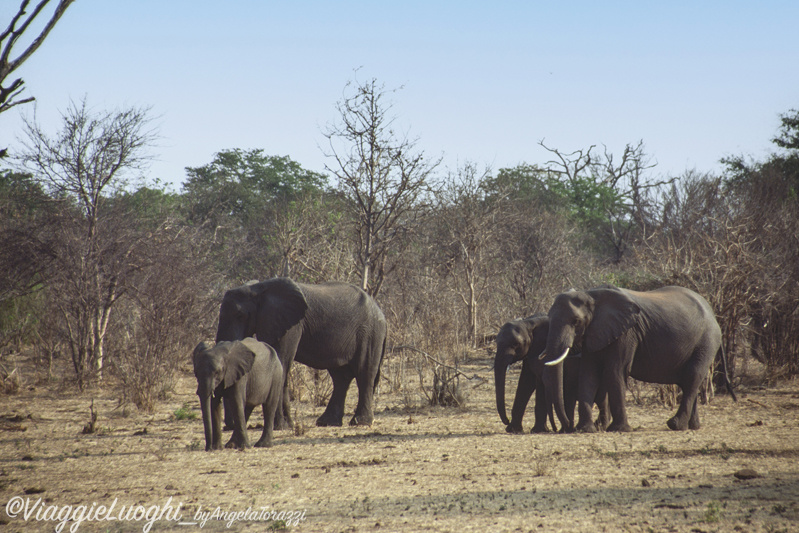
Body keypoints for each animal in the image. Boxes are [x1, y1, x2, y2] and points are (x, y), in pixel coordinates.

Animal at [214, 276, 386, 426]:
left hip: (370, 332)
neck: (257, 288)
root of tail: (380, 310)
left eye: (240, 315)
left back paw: (360, 422)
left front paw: (281, 426)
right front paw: (287, 425)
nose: (229, 426)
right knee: (340, 377)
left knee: (364, 372)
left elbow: (282, 362)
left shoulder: (292, 325)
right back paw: (326, 422)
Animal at [536, 284, 736, 430]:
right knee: (689, 382)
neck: (591, 294)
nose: (566, 428)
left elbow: (615, 371)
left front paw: (618, 429)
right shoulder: (596, 332)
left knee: (692, 377)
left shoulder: (627, 333)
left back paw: (675, 425)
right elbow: (588, 374)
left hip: (706, 342)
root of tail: (714, 315)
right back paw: (693, 427)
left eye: (576, 322)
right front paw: (586, 429)